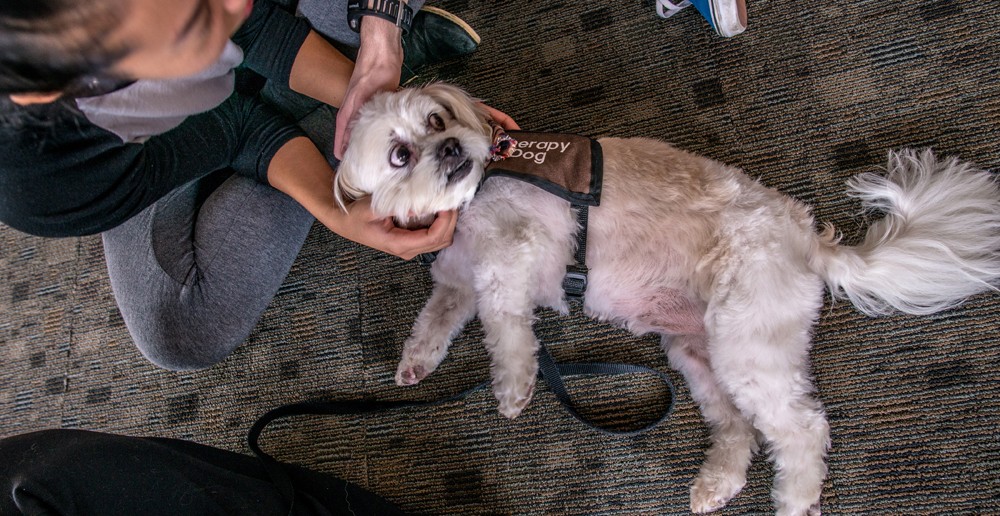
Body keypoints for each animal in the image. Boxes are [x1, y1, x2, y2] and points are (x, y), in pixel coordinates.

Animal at [336, 82, 1000, 512]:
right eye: (399, 155)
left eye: (437, 121)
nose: (451, 149)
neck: (473, 197)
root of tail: (805, 237)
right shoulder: (456, 278)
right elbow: (438, 317)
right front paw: (417, 361)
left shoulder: (514, 253)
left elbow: (504, 323)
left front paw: (515, 385)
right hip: (697, 349)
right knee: (738, 429)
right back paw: (717, 484)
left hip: (745, 340)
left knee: (802, 428)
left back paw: (794, 500)